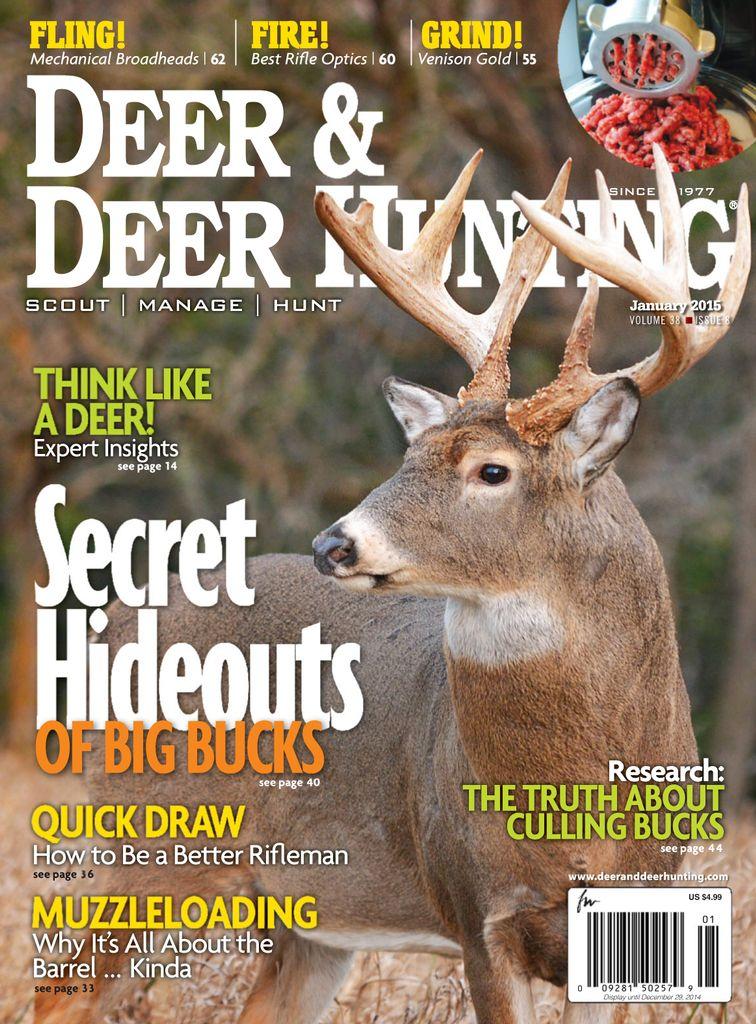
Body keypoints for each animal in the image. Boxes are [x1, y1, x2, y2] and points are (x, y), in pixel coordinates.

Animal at [36, 145, 749, 1024]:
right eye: (411, 454)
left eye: (492, 470)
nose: (333, 544)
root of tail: (110, 621)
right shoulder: (476, 910)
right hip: (149, 846)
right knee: (58, 994)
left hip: (303, 915)